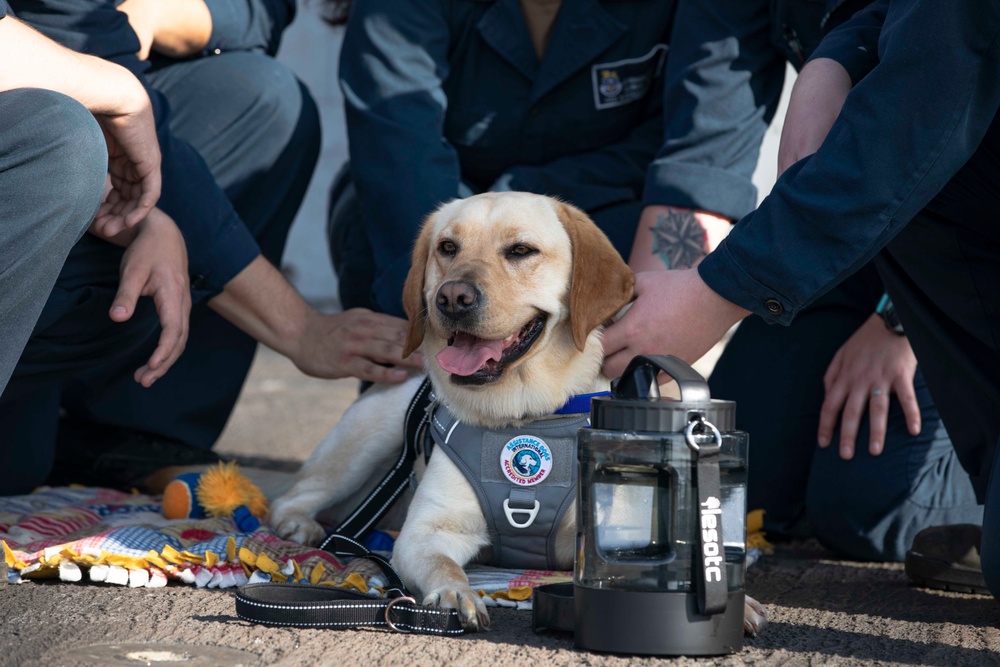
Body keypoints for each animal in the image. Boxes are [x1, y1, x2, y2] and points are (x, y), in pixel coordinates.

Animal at [266, 190, 764, 636]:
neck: (523, 413)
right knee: (296, 494)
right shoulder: (426, 532)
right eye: (447, 247)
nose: (452, 297)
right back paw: (301, 527)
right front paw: (456, 594)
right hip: (369, 441)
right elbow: (444, 565)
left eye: (521, 250)